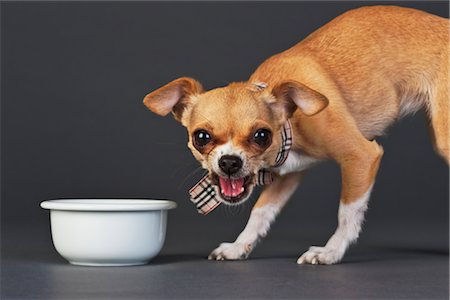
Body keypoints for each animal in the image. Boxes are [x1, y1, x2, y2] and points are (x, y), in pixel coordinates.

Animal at [142, 6, 448, 264]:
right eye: (201, 137)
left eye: (261, 136)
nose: (229, 162)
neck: (291, 123)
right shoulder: (287, 176)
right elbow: (260, 212)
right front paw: (239, 246)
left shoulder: (361, 157)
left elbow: (347, 211)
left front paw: (331, 252)